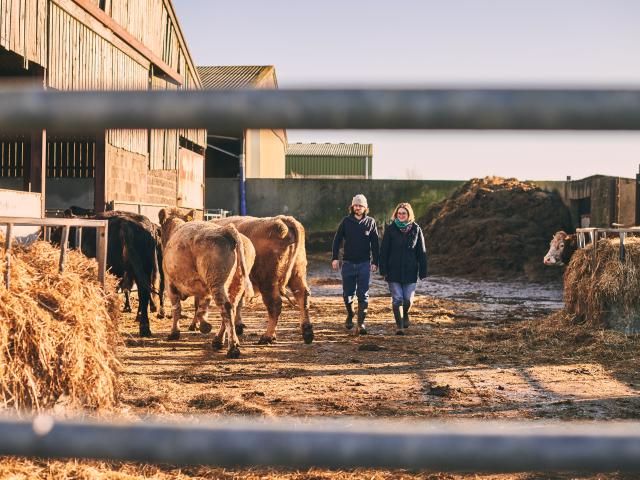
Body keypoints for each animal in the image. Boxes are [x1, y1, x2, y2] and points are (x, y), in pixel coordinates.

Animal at [161, 218, 255, 358]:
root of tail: (226, 230)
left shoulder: (170, 284)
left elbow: (177, 309)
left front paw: (174, 332)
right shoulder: (204, 291)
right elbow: (200, 308)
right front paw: (203, 324)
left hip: (216, 282)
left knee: (226, 308)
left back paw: (232, 348)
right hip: (237, 283)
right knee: (231, 308)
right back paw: (219, 341)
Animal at [212, 215, 314, 345]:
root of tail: (282, 219)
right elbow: (238, 304)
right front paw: (238, 326)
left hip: (267, 282)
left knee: (275, 305)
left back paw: (267, 336)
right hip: (297, 274)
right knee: (302, 296)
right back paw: (307, 332)